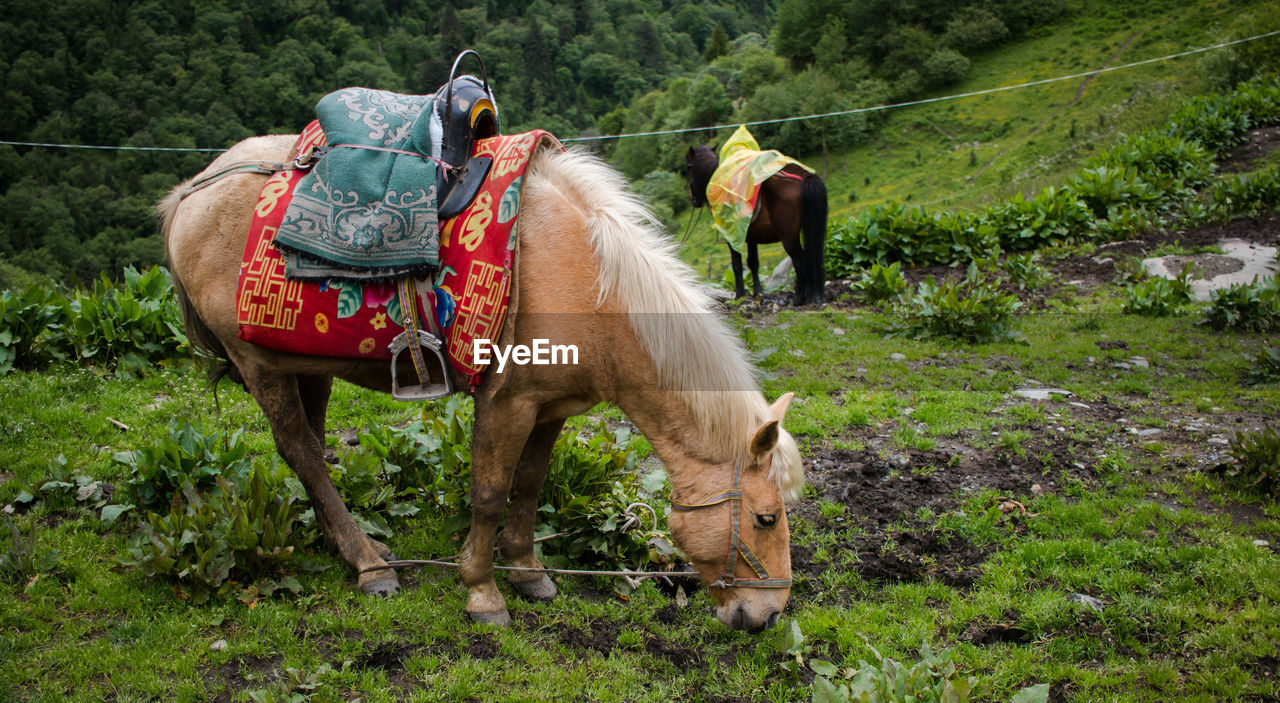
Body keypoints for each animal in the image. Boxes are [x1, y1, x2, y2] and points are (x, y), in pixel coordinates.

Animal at [157, 135, 798, 630]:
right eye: (766, 518)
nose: (768, 618)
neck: (590, 285)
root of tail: (192, 190)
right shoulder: (507, 402)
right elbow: (490, 494)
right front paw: (483, 593)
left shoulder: (552, 406)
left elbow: (530, 486)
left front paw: (528, 573)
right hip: (259, 364)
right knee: (302, 452)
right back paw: (369, 565)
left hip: (300, 363)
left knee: (311, 450)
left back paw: (352, 548)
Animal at [691, 145, 829, 304]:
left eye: (688, 167)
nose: (693, 199)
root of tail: (805, 177)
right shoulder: (752, 237)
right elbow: (753, 262)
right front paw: (758, 292)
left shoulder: (732, 238)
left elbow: (737, 265)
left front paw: (739, 296)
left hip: (789, 239)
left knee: (801, 265)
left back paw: (798, 299)